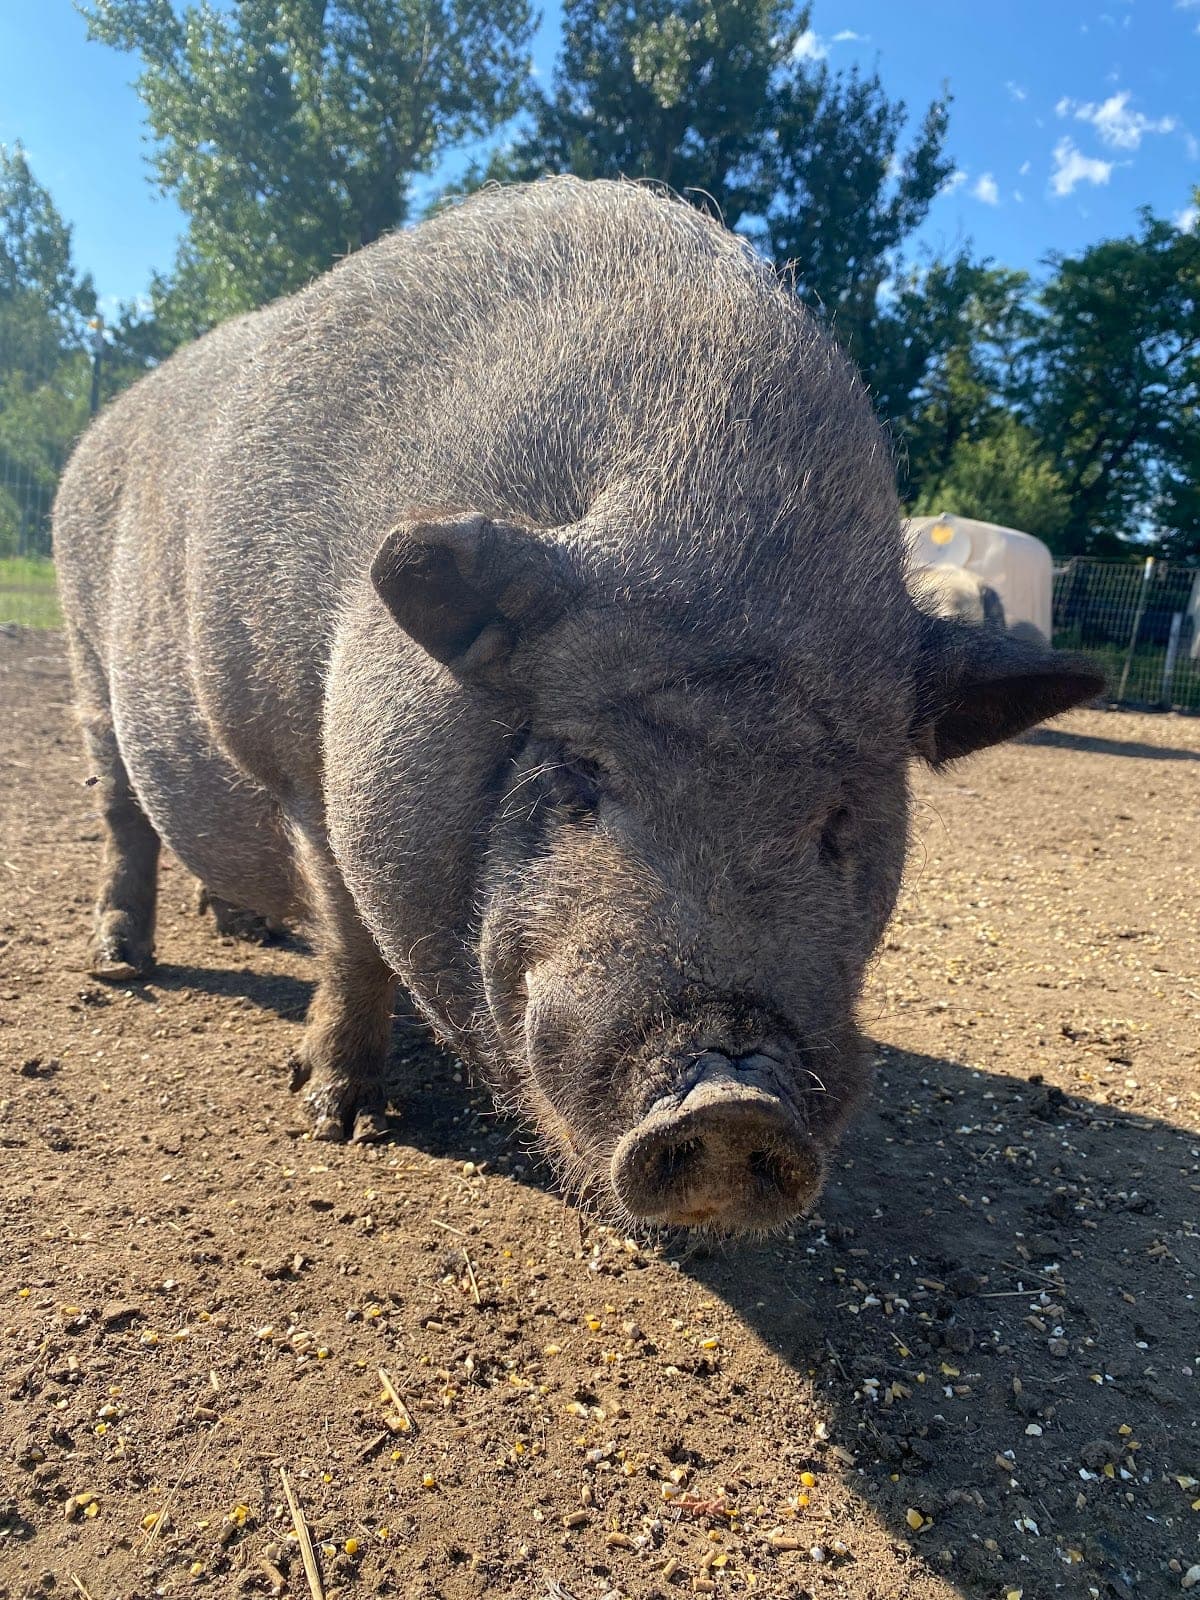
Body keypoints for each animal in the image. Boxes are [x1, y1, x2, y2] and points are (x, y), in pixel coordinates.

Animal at [54, 178, 1103, 1233]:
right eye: (578, 779)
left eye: (837, 820)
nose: (735, 1101)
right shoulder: (291, 753)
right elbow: (352, 943)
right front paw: (336, 1118)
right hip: (85, 662)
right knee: (121, 813)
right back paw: (121, 965)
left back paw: (243, 928)